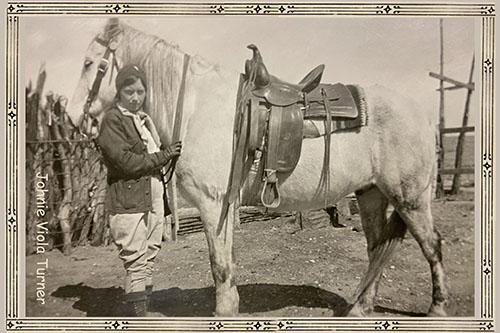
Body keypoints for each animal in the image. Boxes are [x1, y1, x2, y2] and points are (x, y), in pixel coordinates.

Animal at [66, 18, 446, 316]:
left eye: (89, 63)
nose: (72, 117)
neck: (197, 108)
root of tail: (423, 113)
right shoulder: (223, 206)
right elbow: (226, 263)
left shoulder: (212, 203)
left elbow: (219, 265)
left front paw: (223, 310)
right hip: (372, 194)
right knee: (378, 247)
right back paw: (360, 308)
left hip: (410, 198)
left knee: (432, 245)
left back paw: (437, 309)